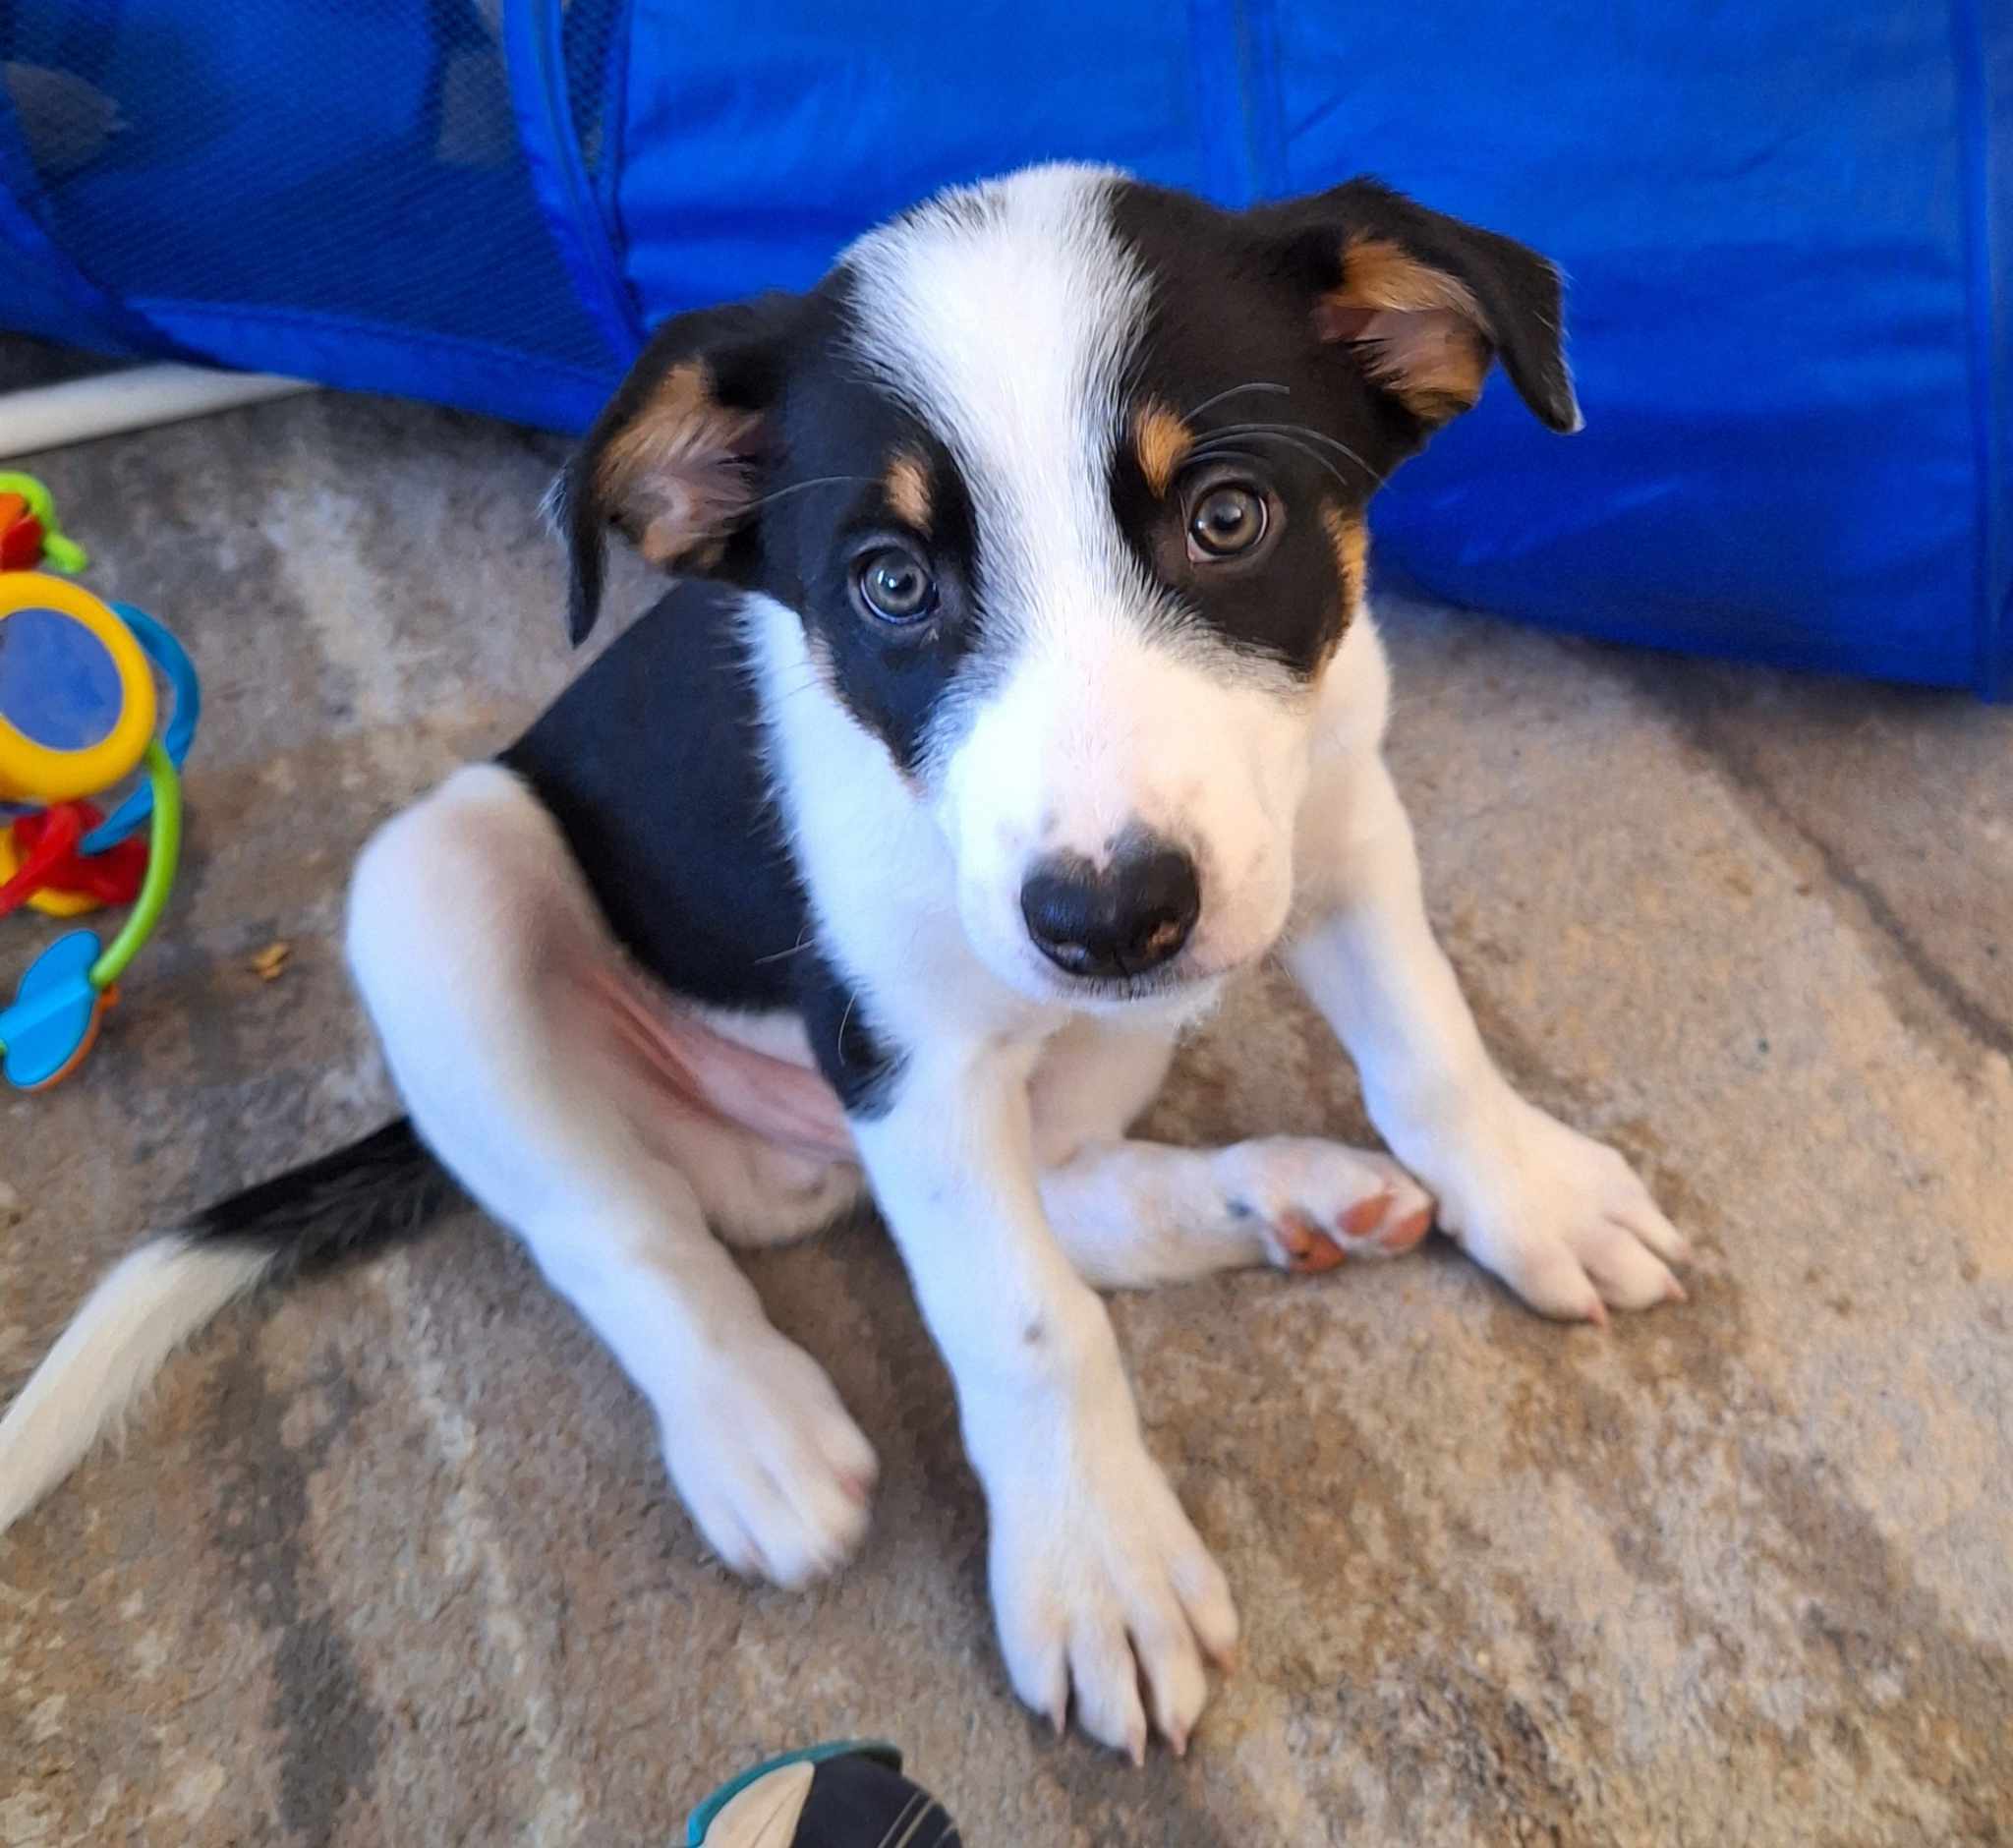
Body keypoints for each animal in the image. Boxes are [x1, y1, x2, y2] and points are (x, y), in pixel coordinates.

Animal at [4, 162, 1683, 1762]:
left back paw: (1280, 1198)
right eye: (891, 583)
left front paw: (1524, 1194)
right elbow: (1021, 1325)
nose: (1110, 919)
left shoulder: (1337, 831)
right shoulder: (905, 1056)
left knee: (1057, 1196)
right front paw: (1097, 1568)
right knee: (616, 1223)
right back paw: (753, 1427)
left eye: (1227, 518)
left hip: (1078, 1047)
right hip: (439, 885)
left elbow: (1428, 1046)